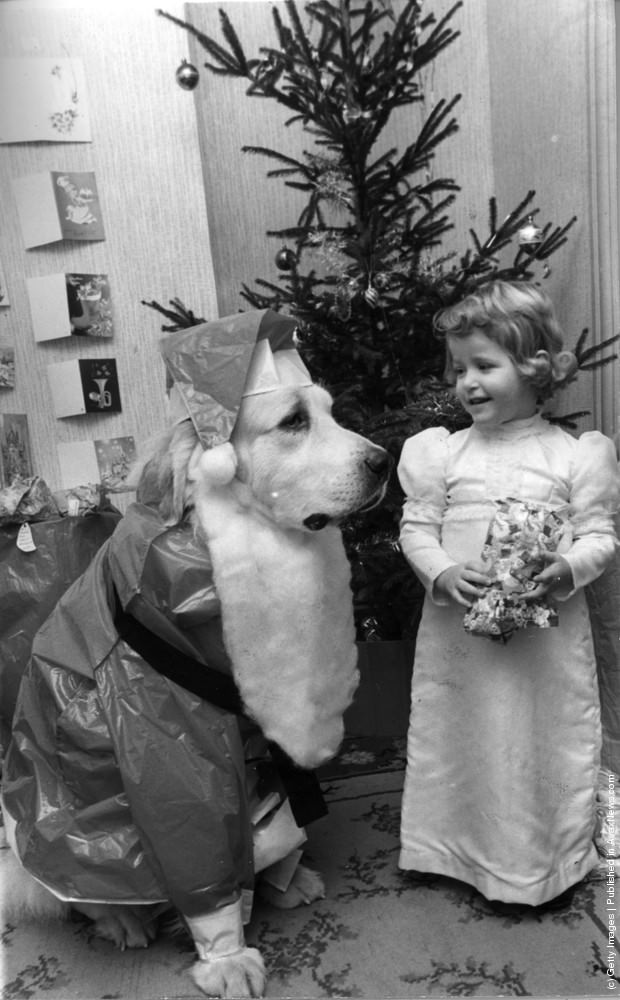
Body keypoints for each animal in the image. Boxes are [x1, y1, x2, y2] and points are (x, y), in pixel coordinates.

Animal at [0, 322, 390, 1000]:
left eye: (332, 413)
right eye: (294, 421)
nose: (384, 460)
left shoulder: (261, 722)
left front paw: (284, 877)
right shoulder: (164, 728)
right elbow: (199, 844)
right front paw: (225, 955)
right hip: (61, 842)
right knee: (78, 895)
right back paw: (124, 922)